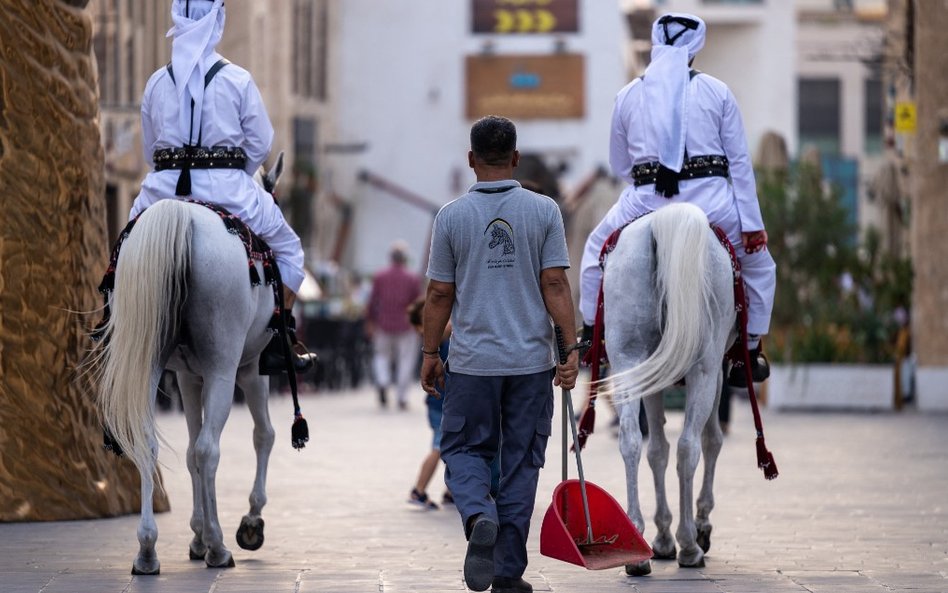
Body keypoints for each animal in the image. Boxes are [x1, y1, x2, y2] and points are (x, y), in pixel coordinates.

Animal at [94, 199, 284, 572]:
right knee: (209, 449)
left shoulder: (188, 377)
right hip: (223, 366)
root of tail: (179, 212)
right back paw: (218, 546)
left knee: (151, 444)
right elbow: (263, 435)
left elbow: (188, 452)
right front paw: (250, 521)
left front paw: (196, 535)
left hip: (150, 359)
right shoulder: (252, 369)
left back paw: (148, 549)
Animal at [600, 202, 740, 572]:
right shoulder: (716, 371)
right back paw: (690, 543)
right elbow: (711, 440)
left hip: (629, 360)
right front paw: (699, 524)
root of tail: (663, 220)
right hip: (704, 369)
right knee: (690, 445)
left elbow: (656, 450)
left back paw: (636, 543)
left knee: (632, 441)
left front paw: (662, 536)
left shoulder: (651, 375)